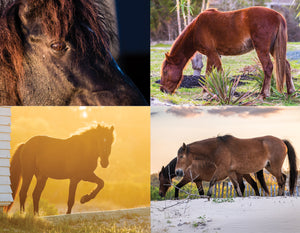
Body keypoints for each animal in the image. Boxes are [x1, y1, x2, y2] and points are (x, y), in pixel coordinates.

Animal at [161, 6, 294, 99]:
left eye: (166, 71)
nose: (163, 90)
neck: (196, 29)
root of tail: (277, 15)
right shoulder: (212, 54)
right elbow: (209, 72)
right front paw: (206, 92)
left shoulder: (212, 53)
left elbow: (218, 70)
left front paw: (224, 91)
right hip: (273, 49)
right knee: (286, 65)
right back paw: (291, 92)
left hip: (262, 49)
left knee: (268, 67)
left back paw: (263, 94)